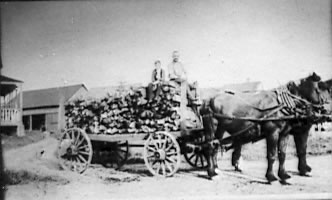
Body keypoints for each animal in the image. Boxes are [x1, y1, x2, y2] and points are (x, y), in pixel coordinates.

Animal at [200, 72, 332, 182]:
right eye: (319, 88)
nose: (327, 111)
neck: (284, 105)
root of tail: (208, 100)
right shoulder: (273, 132)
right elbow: (272, 155)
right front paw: (271, 176)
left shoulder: (286, 133)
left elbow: (285, 154)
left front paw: (284, 174)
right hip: (212, 128)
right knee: (209, 148)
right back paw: (211, 173)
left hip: (220, 130)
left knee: (216, 146)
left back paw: (216, 169)